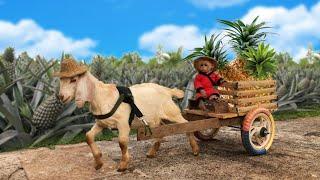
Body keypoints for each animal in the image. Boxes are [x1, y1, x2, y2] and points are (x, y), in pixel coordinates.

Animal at [57, 71, 198, 171]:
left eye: (74, 80)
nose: (61, 96)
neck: (104, 96)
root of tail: (167, 90)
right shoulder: (101, 123)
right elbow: (88, 136)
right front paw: (98, 163)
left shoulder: (123, 124)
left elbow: (122, 142)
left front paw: (123, 165)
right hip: (154, 119)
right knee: (161, 131)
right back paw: (152, 152)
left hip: (172, 112)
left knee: (187, 124)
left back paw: (195, 149)